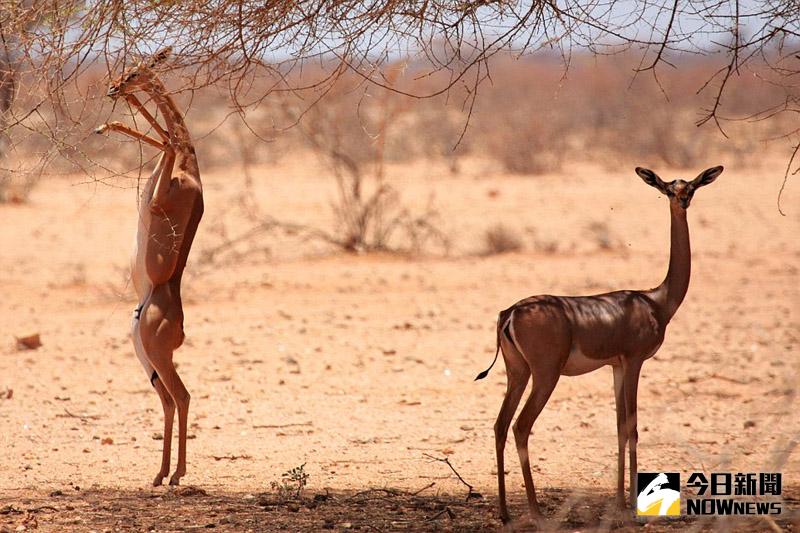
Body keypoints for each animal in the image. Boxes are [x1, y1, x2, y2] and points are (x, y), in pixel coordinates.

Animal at [95, 50, 205, 486]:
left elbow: (167, 139)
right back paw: (159, 475)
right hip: (144, 356)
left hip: (157, 356)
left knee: (183, 395)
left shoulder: (158, 197)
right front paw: (107, 124)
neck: (189, 172)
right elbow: (163, 138)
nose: (113, 87)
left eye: (135, 72)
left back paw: (176, 475)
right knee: (168, 401)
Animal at [476, 165, 724, 520]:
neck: (656, 301)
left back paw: (505, 512)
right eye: (667, 188)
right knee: (521, 426)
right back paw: (536, 511)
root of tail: (510, 312)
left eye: (690, 187)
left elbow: (620, 426)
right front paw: (631, 505)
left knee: (500, 425)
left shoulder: (615, 367)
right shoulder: (634, 362)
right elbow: (633, 427)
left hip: (518, 373)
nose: (682, 201)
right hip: (545, 376)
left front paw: (619, 501)